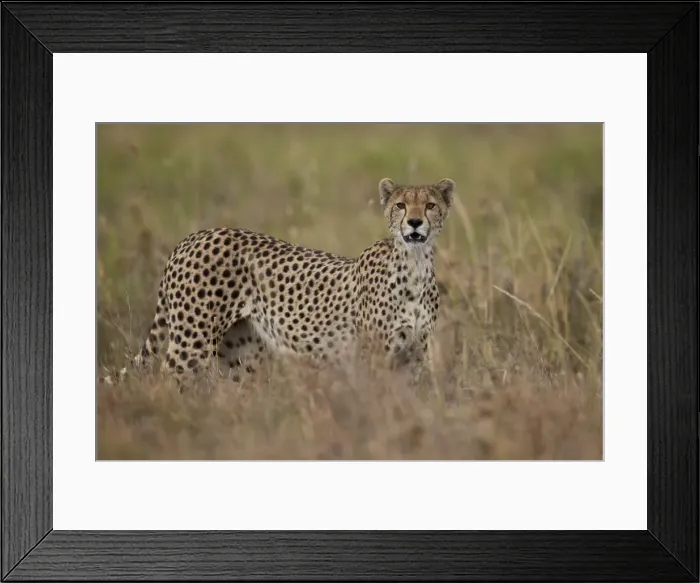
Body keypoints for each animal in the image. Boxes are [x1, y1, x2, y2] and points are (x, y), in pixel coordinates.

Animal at [100, 177, 455, 389]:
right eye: (400, 205)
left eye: (430, 205)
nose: (414, 222)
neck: (414, 264)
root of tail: (195, 235)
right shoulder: (375, 353)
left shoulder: (414, 351)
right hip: (193, 338)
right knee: (169, 379)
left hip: (240, 352)